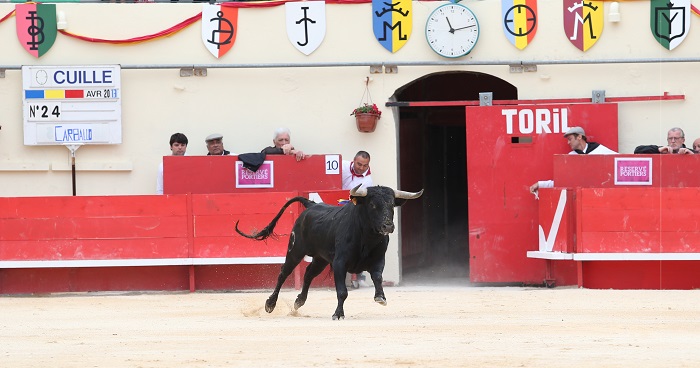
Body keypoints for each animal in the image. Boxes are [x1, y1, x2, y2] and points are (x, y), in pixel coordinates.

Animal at [234, 185, 422, 320]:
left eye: (392, 205)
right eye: (372, 204)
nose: (388, 226)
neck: (366, 237)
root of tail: (311, 205)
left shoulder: (378, 260)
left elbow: (377, 277)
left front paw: (380, 297)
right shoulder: (340, 263)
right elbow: (342, 291)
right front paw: (338, 314)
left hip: (320, 259)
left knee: (308, 274)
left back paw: (299, 301)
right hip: (295, 250)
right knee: (283, 273)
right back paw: (270, 304)